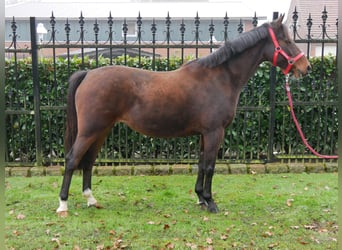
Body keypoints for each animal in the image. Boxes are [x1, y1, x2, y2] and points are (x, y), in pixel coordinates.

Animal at [57, 14, 312, 216]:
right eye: (287, 41)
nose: (306, 67)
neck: (220, 77)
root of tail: (89, 74)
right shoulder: (214, 133)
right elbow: (209, 166)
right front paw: (210, 202)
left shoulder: (204, 134)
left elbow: (200, 163)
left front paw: (200, 198)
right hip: (90, 130)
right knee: (72, 159)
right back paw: (63, 205)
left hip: (101, 130)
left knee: (88, 161)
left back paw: (91, 199)